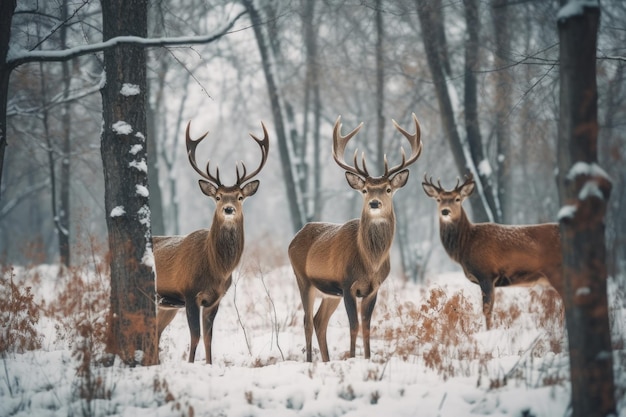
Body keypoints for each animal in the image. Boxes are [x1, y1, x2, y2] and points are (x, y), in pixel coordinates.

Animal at [154, 119, 268, 360]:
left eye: (240, 197)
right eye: (217, 196)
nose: (228, 208)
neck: (216, 268)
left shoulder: (215, 298)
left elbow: (208, 338)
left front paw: (209, 364)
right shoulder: (189, 293)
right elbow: (195, 336)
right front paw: (190, 364)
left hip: (166, 306)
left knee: (155, 331)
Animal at [286, 114, 422, 360]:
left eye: (388, 189)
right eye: (365, 189)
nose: (374, 203)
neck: (370, 263)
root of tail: (295, 238)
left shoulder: (373, 288)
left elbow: (367, 326)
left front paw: (367, 358)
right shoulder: (347, 283)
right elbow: (354, 325)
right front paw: (351, 357)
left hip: (330, 293)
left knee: (319, 321)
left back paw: (326, 361)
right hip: (303, 279)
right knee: (307, 321)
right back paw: (310, 361)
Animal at [422, 172, 564, 328]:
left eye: (457, 199)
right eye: (438, 199)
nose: (445, 211)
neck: (466, 244)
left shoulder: (486, 274)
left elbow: (487, 310)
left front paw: (489, 331)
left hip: (557, 270)